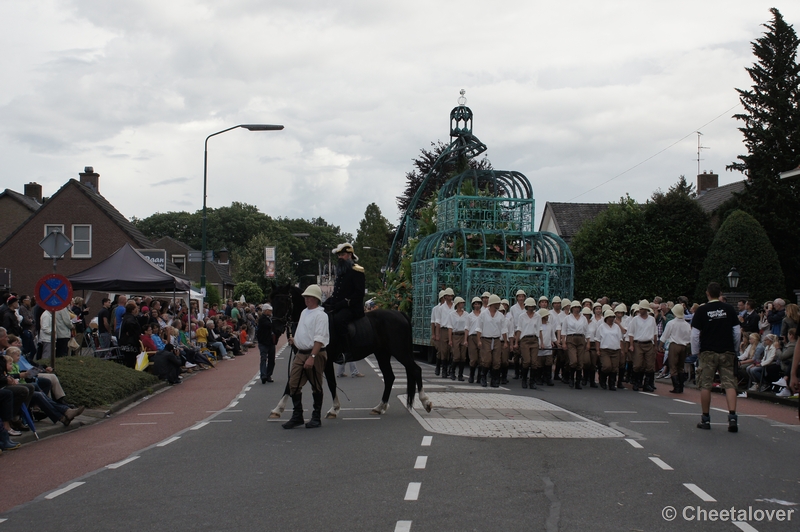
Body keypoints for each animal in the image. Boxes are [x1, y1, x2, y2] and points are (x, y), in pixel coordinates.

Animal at [268, 284, 432, 418]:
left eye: (284, 301)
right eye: (272, 302)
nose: (276, 328)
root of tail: (400, 314)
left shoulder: (325, 360)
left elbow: (331, 384)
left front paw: (334, 409)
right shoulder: (305, 359)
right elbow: (291, 382)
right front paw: (278, 408)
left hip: (400, 352)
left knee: (415, 370)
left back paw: (425, 402)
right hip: (382, 354)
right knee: (390, 377)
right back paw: (380, 407)